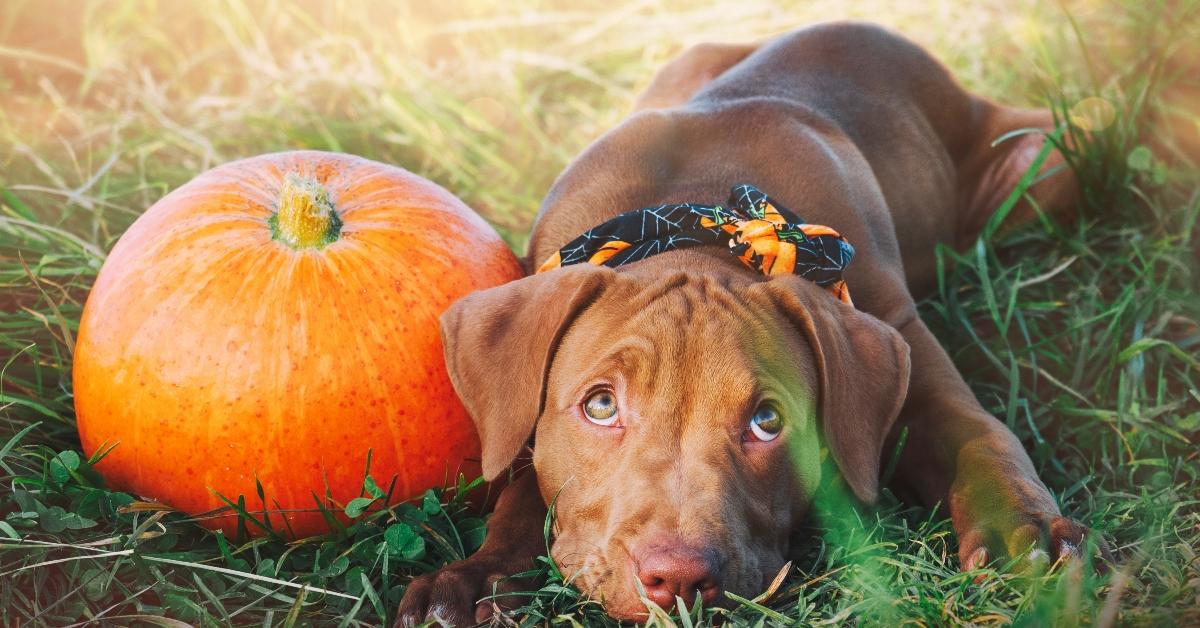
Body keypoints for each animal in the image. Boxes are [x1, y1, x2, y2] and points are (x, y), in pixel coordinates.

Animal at [396, 22, 1099, 624]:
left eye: (768, 421)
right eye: (600, 406)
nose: (677, 578)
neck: (696, 227)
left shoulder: (905, 342)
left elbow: (979, 433)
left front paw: (1021, 530)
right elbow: (520, 488)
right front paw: (478, 577)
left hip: (1057, 156)